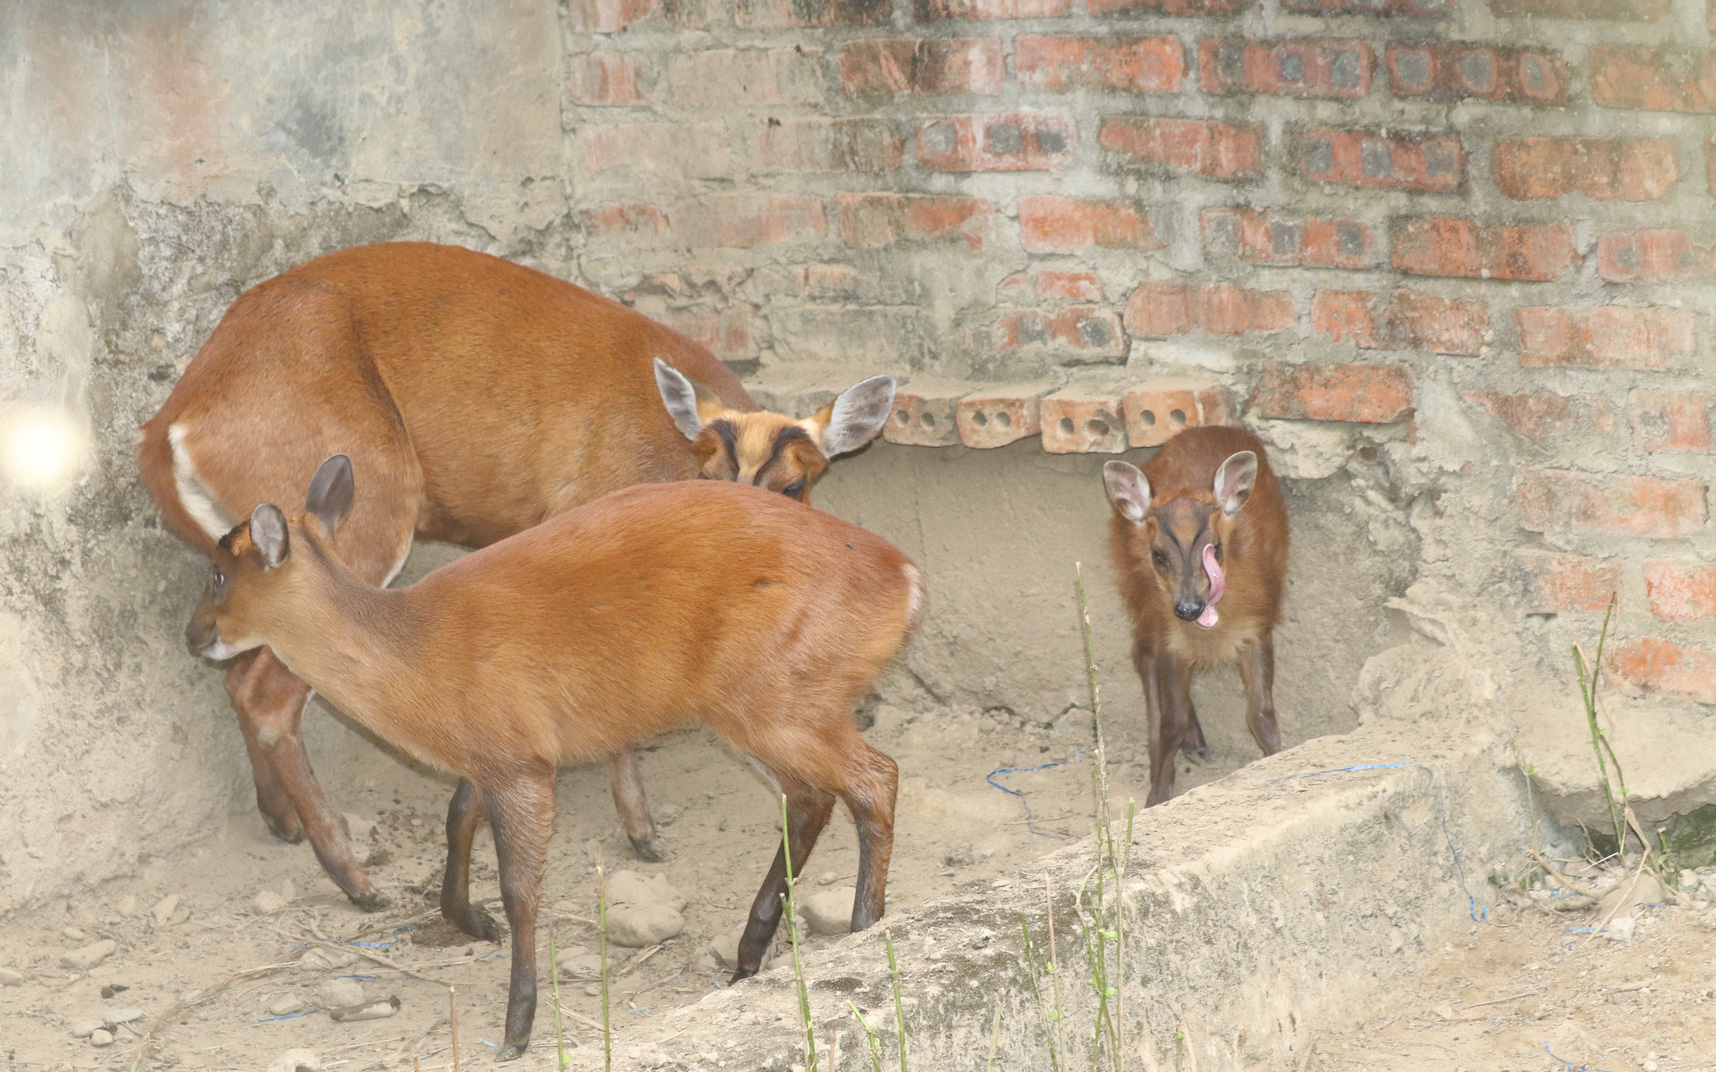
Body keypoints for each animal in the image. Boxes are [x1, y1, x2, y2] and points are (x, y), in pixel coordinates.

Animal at [138, 240, 892, 905]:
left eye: (796, 486)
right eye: (708, 476)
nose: (750, 532)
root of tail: (167, 428)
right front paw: (642, 832)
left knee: (238, 675)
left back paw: (283, 823)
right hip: (364, 509)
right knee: (269, 692)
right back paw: (356, 881)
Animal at [184, 452, 926, 1063]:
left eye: (218, 574)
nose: (192, 636)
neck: (417, 656)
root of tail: (906, 579)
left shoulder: (519, 760)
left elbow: (521, 888)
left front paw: (517, 1026)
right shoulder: (494, 751)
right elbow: (456, 819)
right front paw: (468, 919)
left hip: (778, 698)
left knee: (875, 778)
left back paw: (864, 930)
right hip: (770, 705)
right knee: (814, 796)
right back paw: (750, 956)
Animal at [1098, 423, 1290, 802]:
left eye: (1214, 547)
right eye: (1158, 554)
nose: (1188, 608)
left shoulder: (1258, 627)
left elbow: (1261, 713)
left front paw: (1278, 759)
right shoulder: (1168, 638)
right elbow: (1171, 722)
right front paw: (1157, 795)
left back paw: (1195, 743)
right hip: (1138, 596)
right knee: (1142, 658)